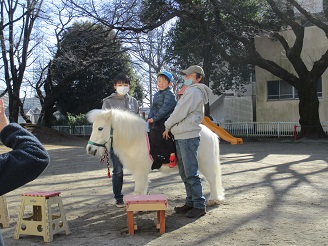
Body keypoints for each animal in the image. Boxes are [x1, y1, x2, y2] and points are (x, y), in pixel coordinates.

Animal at [86, 108, 224, 205]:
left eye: (100, 128)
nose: (89, 149)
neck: (135, 139)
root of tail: (211, 134)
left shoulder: (140, 172)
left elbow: (139, 190)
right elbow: (141, 190)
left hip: (205, 163)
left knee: (212, 179)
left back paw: (214, 199)